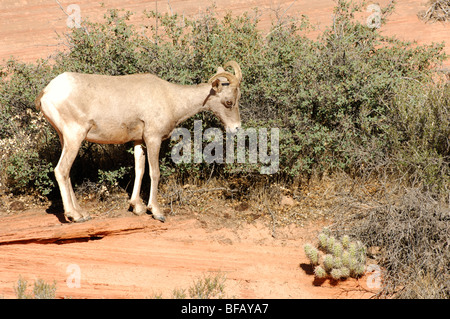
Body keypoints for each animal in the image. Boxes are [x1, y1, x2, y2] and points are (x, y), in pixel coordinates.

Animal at [36, 62, 243, 222]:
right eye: (228, 102)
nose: (236, 128)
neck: (171, 98)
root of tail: (47, 92)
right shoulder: (153, 139)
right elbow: (154, 172)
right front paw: (156, 212)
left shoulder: (138, 141)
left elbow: (140, 169)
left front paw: (137, 207)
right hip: (75, 136)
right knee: (61, 170)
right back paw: (75, 216)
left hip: (65, 138)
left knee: (67, 172)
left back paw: (82, 212)